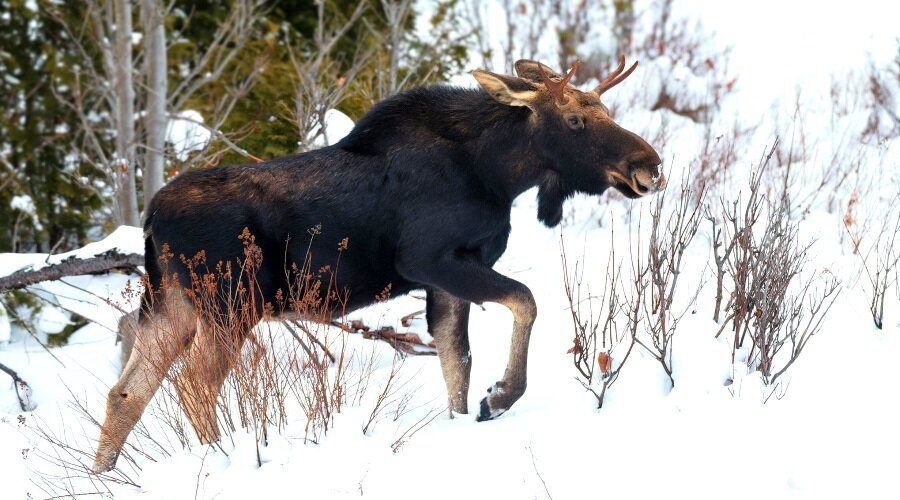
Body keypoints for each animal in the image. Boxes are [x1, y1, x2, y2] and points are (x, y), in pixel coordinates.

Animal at [95, 57, 664, 472]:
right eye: (575, 119)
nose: (650, 165)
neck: (498, 173)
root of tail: (151, 218)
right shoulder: (432, 258)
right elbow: (524, 302)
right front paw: (500, 396)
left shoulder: (445, 276)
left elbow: (456, 362)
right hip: (229, 303)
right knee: (193, 386)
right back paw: (218, 461)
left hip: (170, 302)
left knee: (126, 390)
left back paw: (102, 475)